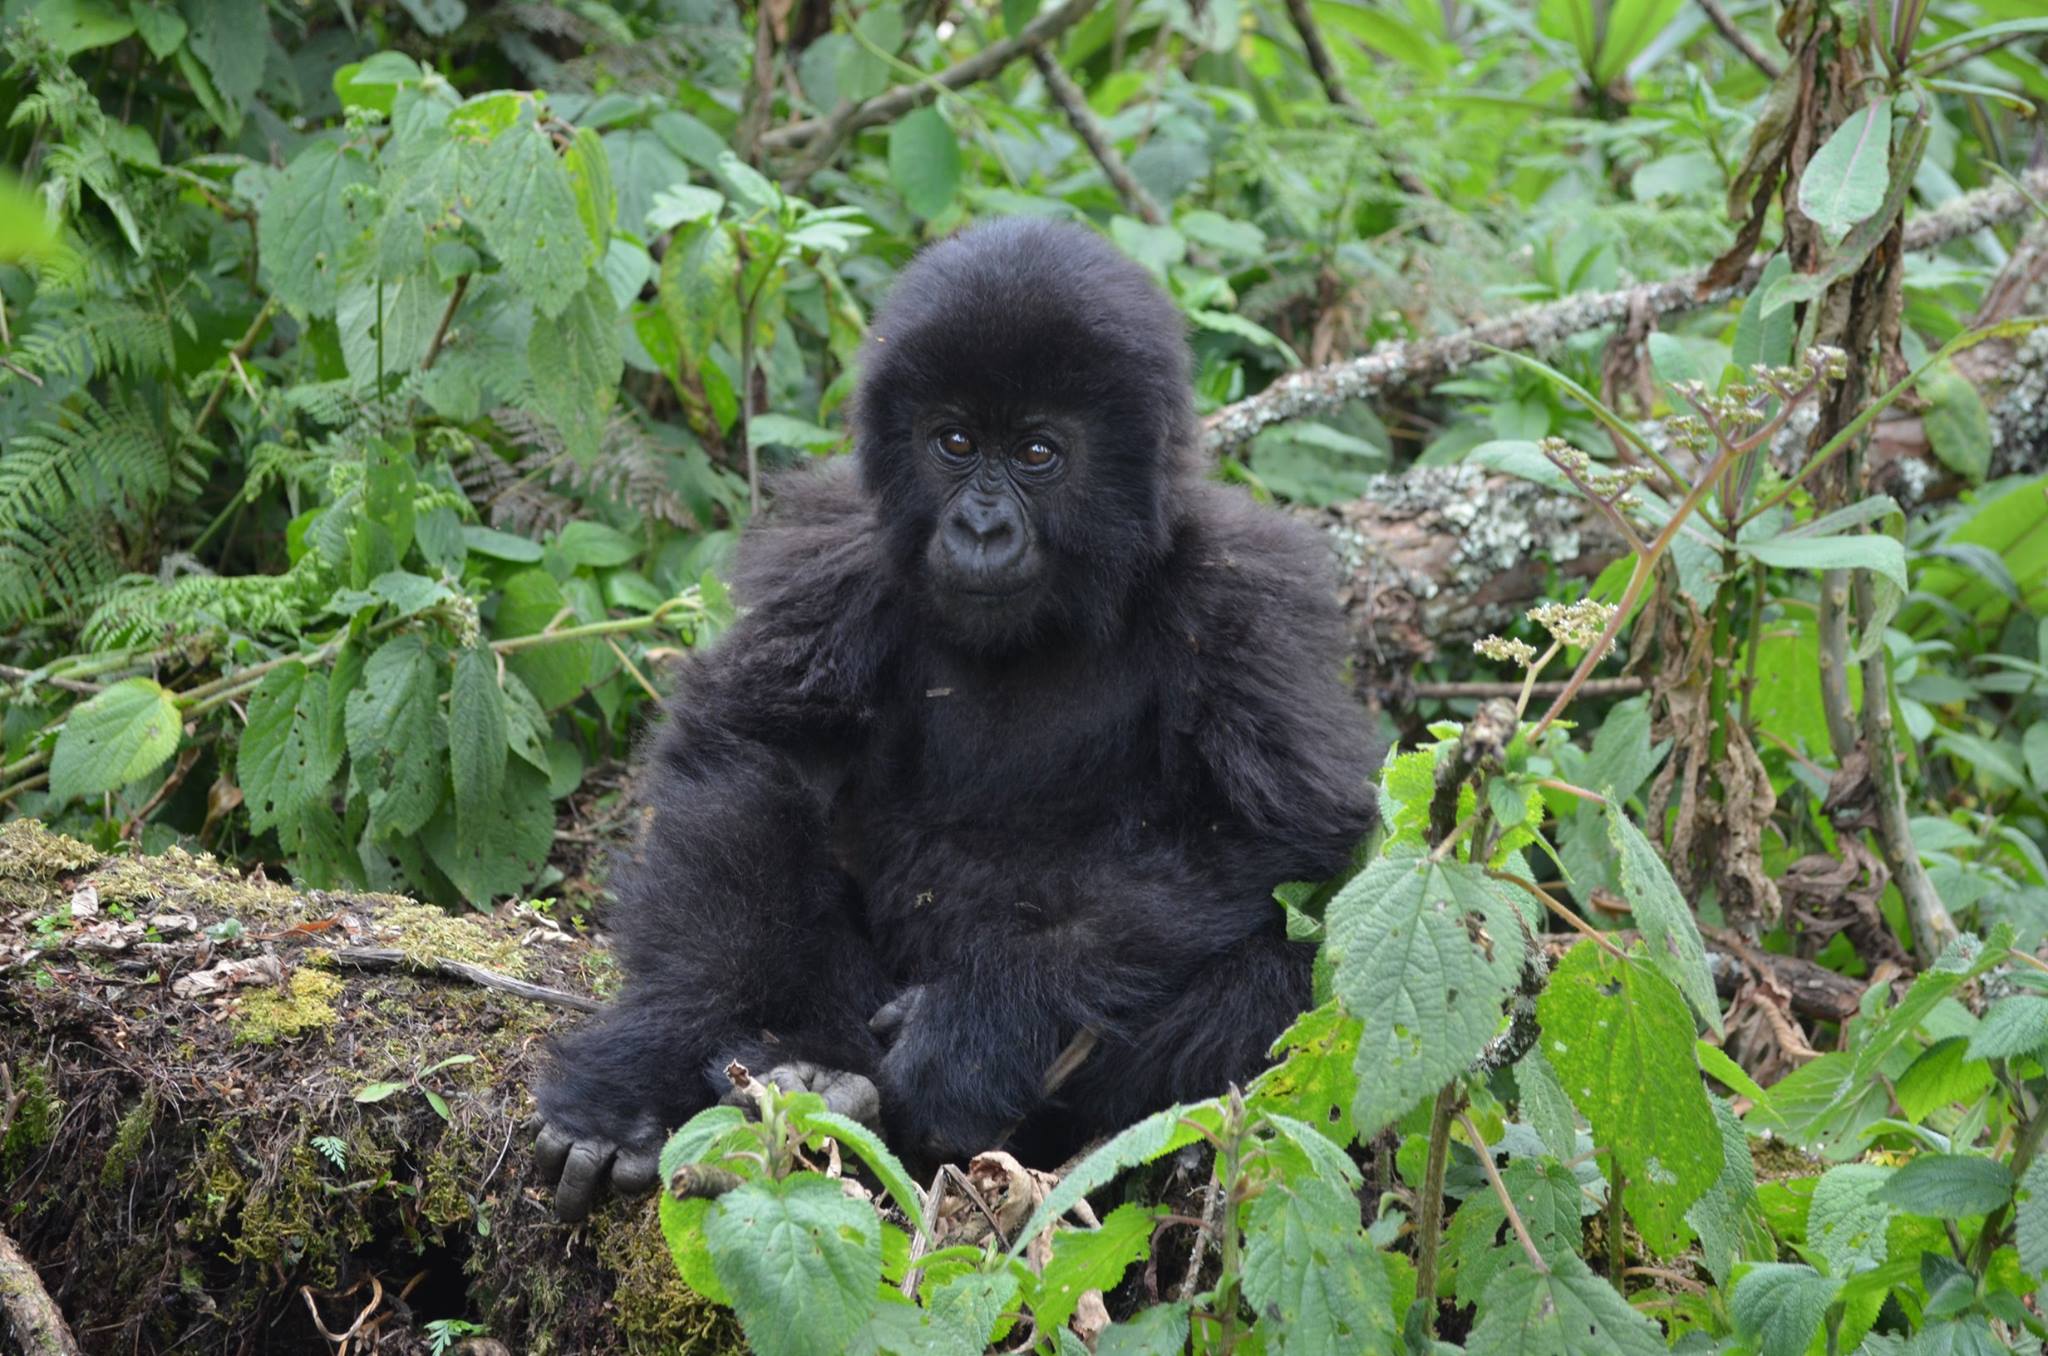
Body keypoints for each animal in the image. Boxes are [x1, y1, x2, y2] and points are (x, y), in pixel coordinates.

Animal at [536, 218, 1384, 1229]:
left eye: (1036, 454)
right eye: (954, 440)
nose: (981, 528)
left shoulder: (1243, 595)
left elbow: (1279, 827)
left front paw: (983, 1024)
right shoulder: (839, 550)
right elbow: (749, 757)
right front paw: (651, 1060)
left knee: (1292, 976)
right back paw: (819, 1075)